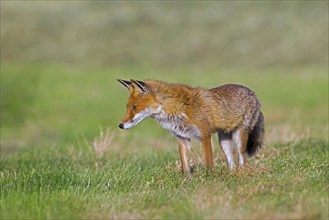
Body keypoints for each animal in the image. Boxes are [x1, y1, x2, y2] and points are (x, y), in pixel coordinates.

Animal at [116, 79, 262, 174]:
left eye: (135, 107)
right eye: (128, 107)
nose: (121, 125)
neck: (177, 109)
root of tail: (254, 94)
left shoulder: (204, 135)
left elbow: (208, 162)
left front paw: (209, 178)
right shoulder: (182, 138)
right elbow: (185, 165)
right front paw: (187, 181)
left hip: (239, 137)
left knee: (242, 158)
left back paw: (242, 174)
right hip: (224, 141)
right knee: (232, 163)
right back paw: (232, 174)